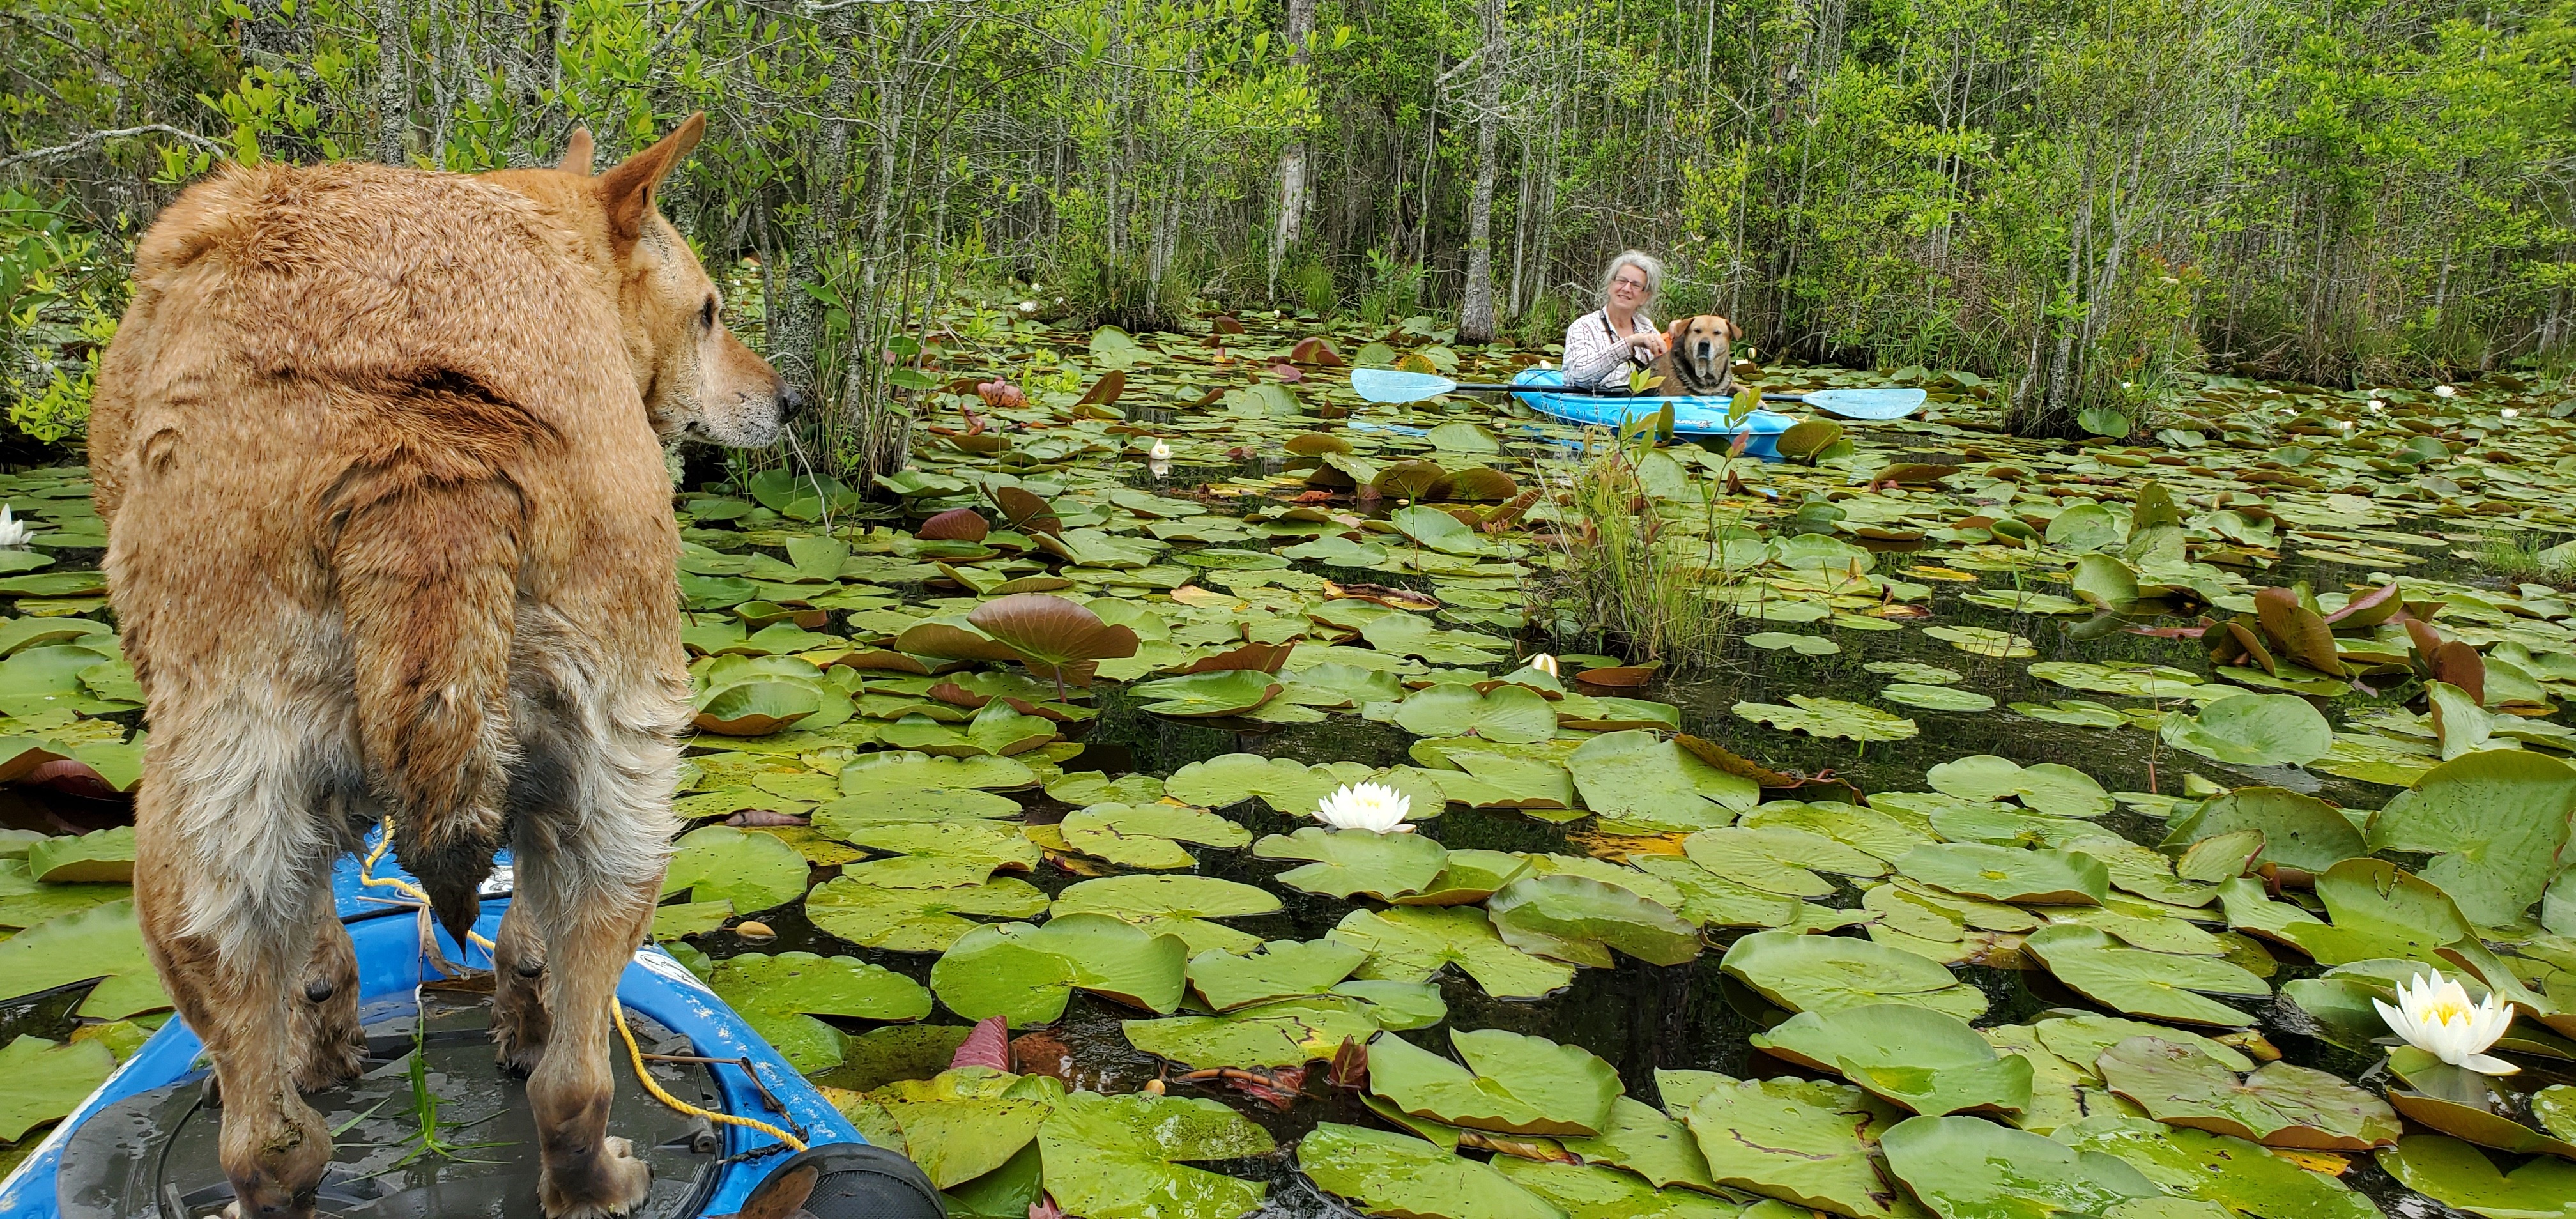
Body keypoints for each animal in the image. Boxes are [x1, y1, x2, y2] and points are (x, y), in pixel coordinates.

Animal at [88, 116, 793, 1216]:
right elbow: (517, 949)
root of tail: (419, 443)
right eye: (712, 313)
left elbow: (318, 957)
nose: (791, 400)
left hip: (202, 818)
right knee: (565, 1079)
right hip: (619, 780)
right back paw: (588, 1168)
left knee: (264, 1121)